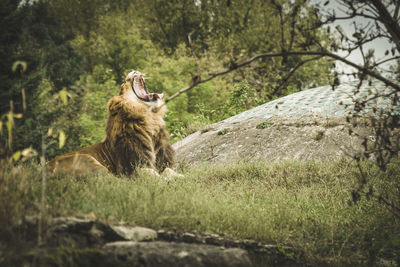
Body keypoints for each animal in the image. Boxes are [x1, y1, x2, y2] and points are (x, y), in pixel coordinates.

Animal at [44, 70, 180, 179]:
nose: (133, 70)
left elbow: (168, 170)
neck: (150, 119)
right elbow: (151, 174)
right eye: (123, 85)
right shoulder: (131, 168)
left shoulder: (162, 160)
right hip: (87, 160)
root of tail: (43, 172)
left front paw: (179, 176)